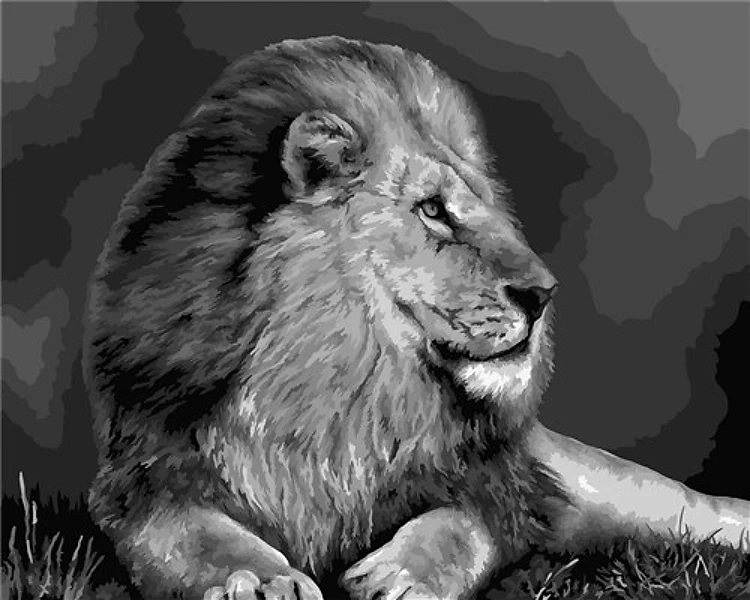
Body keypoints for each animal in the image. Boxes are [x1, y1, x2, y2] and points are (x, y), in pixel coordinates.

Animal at [83, 37, 749, 600]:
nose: (544, 293)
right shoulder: (147, 473)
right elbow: (191, 534)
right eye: (431, 210)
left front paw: (402, 576)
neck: (339, 394)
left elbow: (461, 527)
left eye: (484, 205)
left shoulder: (496, 484)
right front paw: (259, 579)